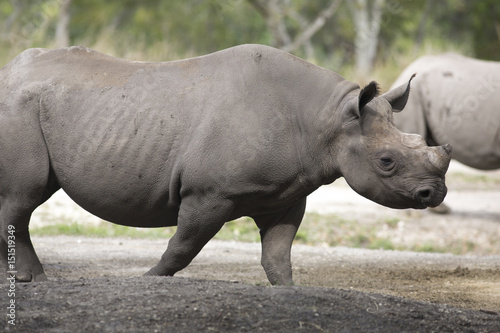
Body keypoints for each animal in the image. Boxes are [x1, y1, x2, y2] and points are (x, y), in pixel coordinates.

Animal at [0, 44, 452, 284]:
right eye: (387, 161)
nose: (436, 193)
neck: (327, 119)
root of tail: (8, 72)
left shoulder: (287, 195)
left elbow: (278, 257)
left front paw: (288, 293)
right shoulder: (209, 193)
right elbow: (182, 248)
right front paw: (147, 280)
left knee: (27, 200)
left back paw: (30, 279)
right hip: (17, 107)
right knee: (22, 198)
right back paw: (31, 280)